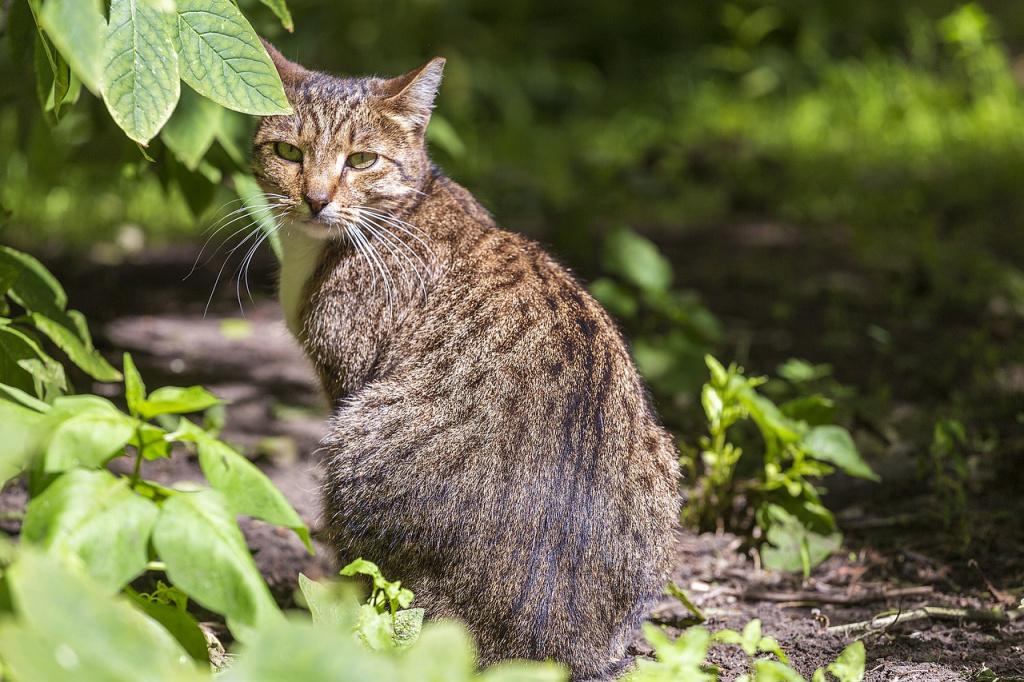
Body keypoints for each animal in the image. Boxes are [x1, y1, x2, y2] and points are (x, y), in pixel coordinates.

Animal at [250, 41, 679, 675]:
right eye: (288, 152)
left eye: (362, 160)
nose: (316, 198)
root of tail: (539, 646)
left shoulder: (344, 377)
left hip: (349, 447)